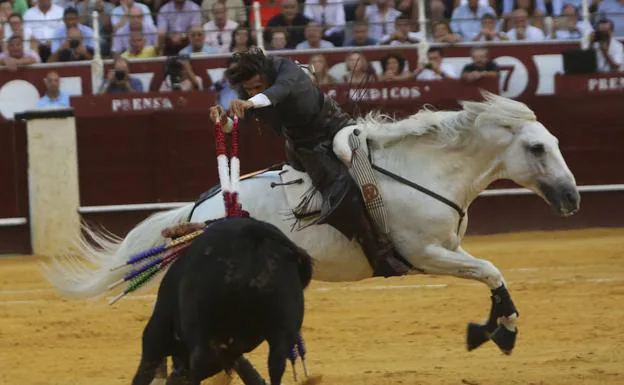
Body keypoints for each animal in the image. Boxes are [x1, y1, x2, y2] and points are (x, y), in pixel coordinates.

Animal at [45, 91, 580, 356]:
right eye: (537, 148)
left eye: (557, 142)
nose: (572, 197)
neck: (425, 170)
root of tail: (196, 212)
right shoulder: (425, 254)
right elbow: (490, 269)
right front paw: (503, 329)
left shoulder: (447, 249)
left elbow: (490, 272)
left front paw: (494, 326)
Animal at [133, 218, 314, 382]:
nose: (178, 376)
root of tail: (253, 235)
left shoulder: (155, 339)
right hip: (284, 327)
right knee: (276, 365)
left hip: (200, 329)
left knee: (198, 362)